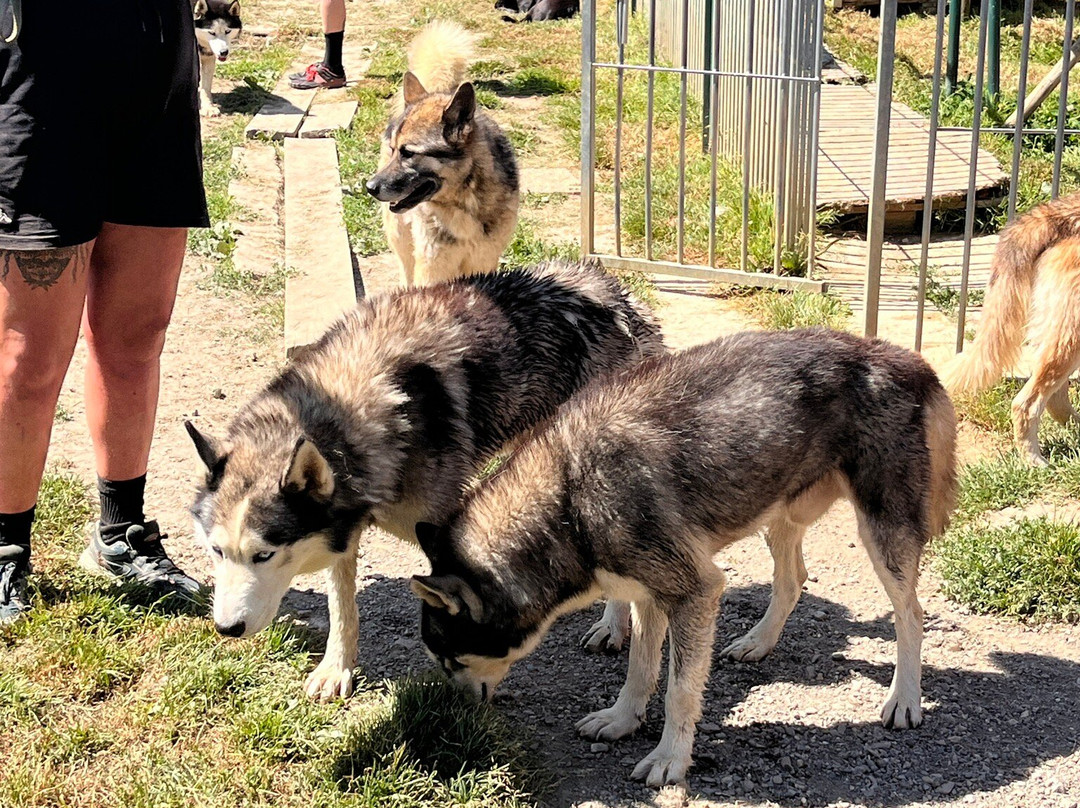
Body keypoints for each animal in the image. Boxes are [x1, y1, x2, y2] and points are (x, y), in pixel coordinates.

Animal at [186, 259, 664, 701]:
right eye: (216, 552)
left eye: (264, 556)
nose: (225, 629)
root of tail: (609, 287)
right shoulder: (346, 533)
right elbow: (342, 607)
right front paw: (336, 669)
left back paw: (612, 625)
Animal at [365, 21, 520, 287]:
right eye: (394, 150)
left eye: (408, 153)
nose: (369, 187)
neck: (465, 200)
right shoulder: (433, 265)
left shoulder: (483, 261)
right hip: (402, 241)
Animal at [410, 328, 958, 786]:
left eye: (449, 658)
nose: (447, 721)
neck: (569, 497)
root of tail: (907, 358)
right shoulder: (649, 595)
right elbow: (640, 668)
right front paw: (623, 719)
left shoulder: (694, 592)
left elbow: (678, 690)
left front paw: (670, 759)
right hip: (778, 515)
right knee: (793, 580)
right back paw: (758, 642)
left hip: (883, 538)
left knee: (911, 614)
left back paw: (904, 699)